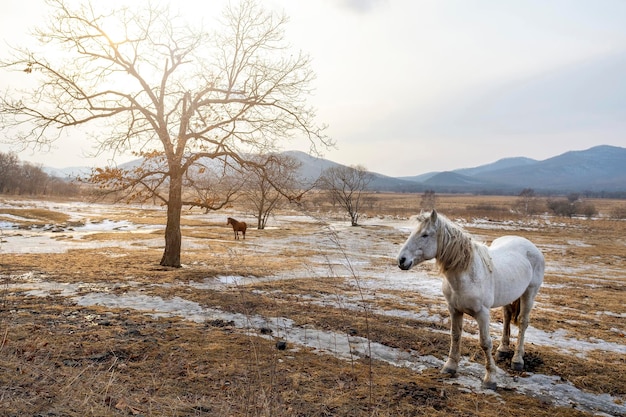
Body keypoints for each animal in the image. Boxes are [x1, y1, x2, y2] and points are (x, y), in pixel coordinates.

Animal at [400, 210, 540, 388]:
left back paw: (517, 360)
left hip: (529, 293)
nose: (401, 260)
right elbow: (455, 335)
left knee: (522, 322)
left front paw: (490, 378)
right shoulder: (454, 310)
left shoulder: (482, 314)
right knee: (507, 317)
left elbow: (485, 343)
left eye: (425, 235)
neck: (467, 275)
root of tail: (530, 246)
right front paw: (450, 367)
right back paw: (502, 350)